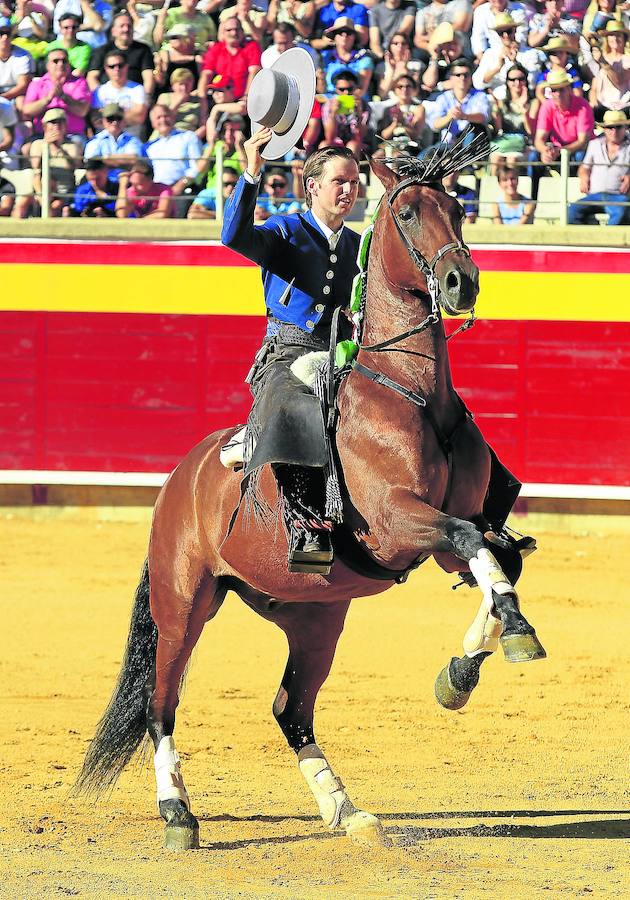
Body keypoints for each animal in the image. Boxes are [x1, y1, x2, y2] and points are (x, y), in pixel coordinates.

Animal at [75, 139, 548, 852]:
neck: (411, 393)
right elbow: (480, 551)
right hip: (183, 601)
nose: (460, 282)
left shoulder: (447, 532)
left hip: (315, 613)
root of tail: (179, 481)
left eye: (459, 207)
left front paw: (459, 676)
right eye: (407, 212)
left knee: (290, 707)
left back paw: (345, 809)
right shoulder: (399, 523)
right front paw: (516, 635)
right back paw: (178, 814)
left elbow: (499, 561)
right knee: (163, 701)